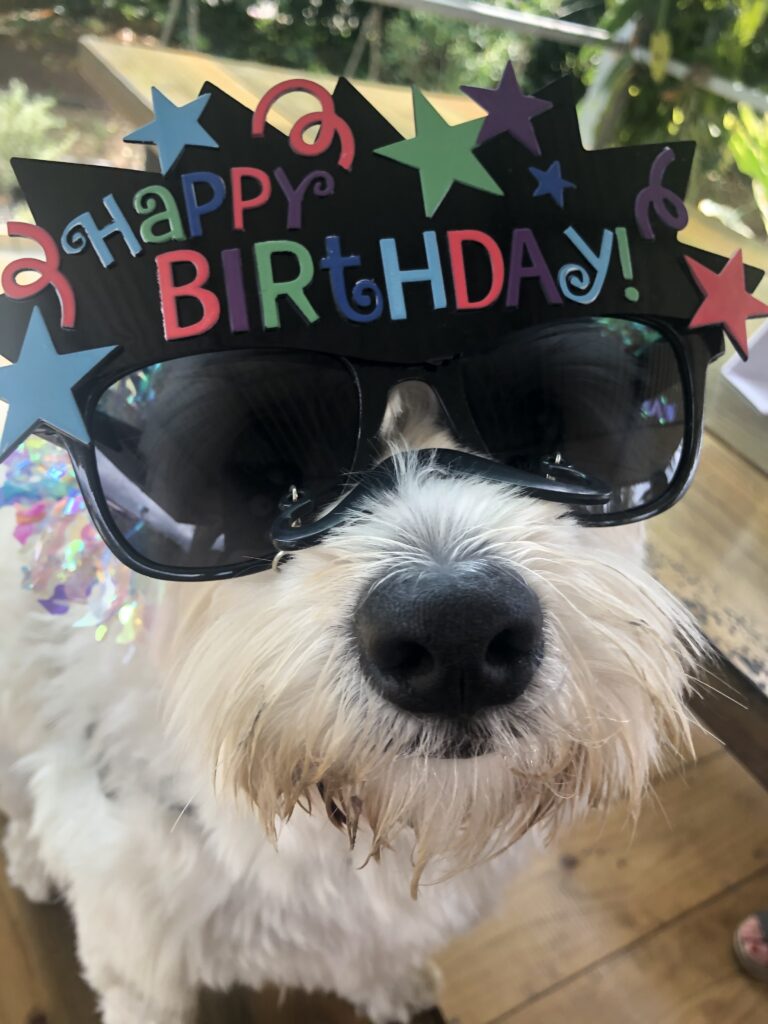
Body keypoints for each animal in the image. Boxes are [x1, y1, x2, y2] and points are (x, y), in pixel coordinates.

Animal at [0, 378, 700, 1024]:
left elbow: (376, 959)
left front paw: (394, 988)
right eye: (259, 464)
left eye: (543, 424)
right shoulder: (136, 958)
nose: (456, 630)